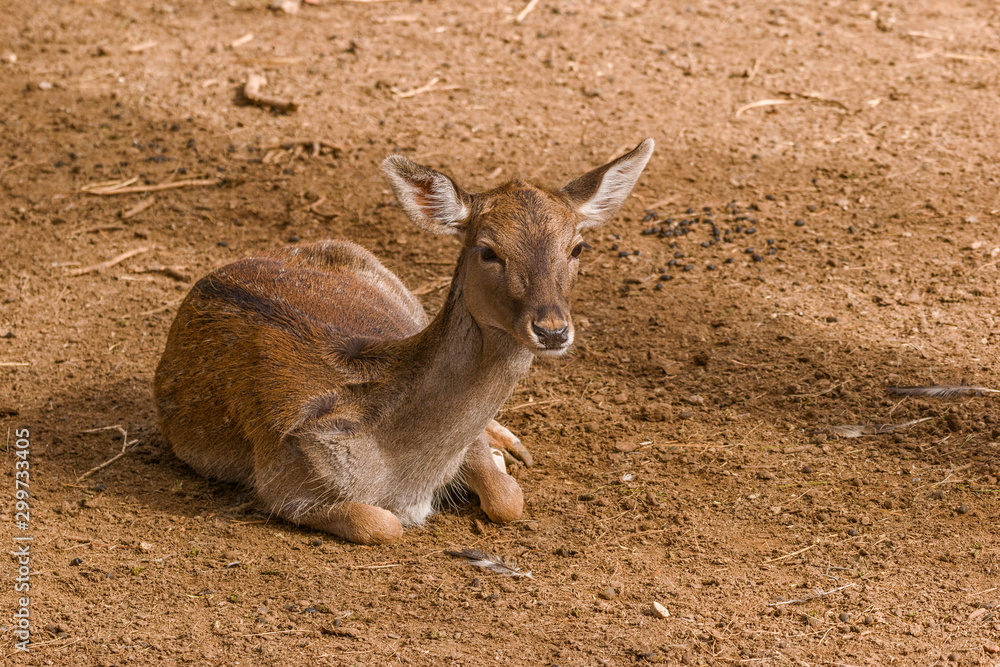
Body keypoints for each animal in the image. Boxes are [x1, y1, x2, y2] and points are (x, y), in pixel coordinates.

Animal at [153, 139, 654, 544]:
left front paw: (500, 455)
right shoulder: (281, 480)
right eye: (488, 250)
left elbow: (508, 499)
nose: (551, 330)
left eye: (577, 247)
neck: (406, 469)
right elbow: (384, 524)